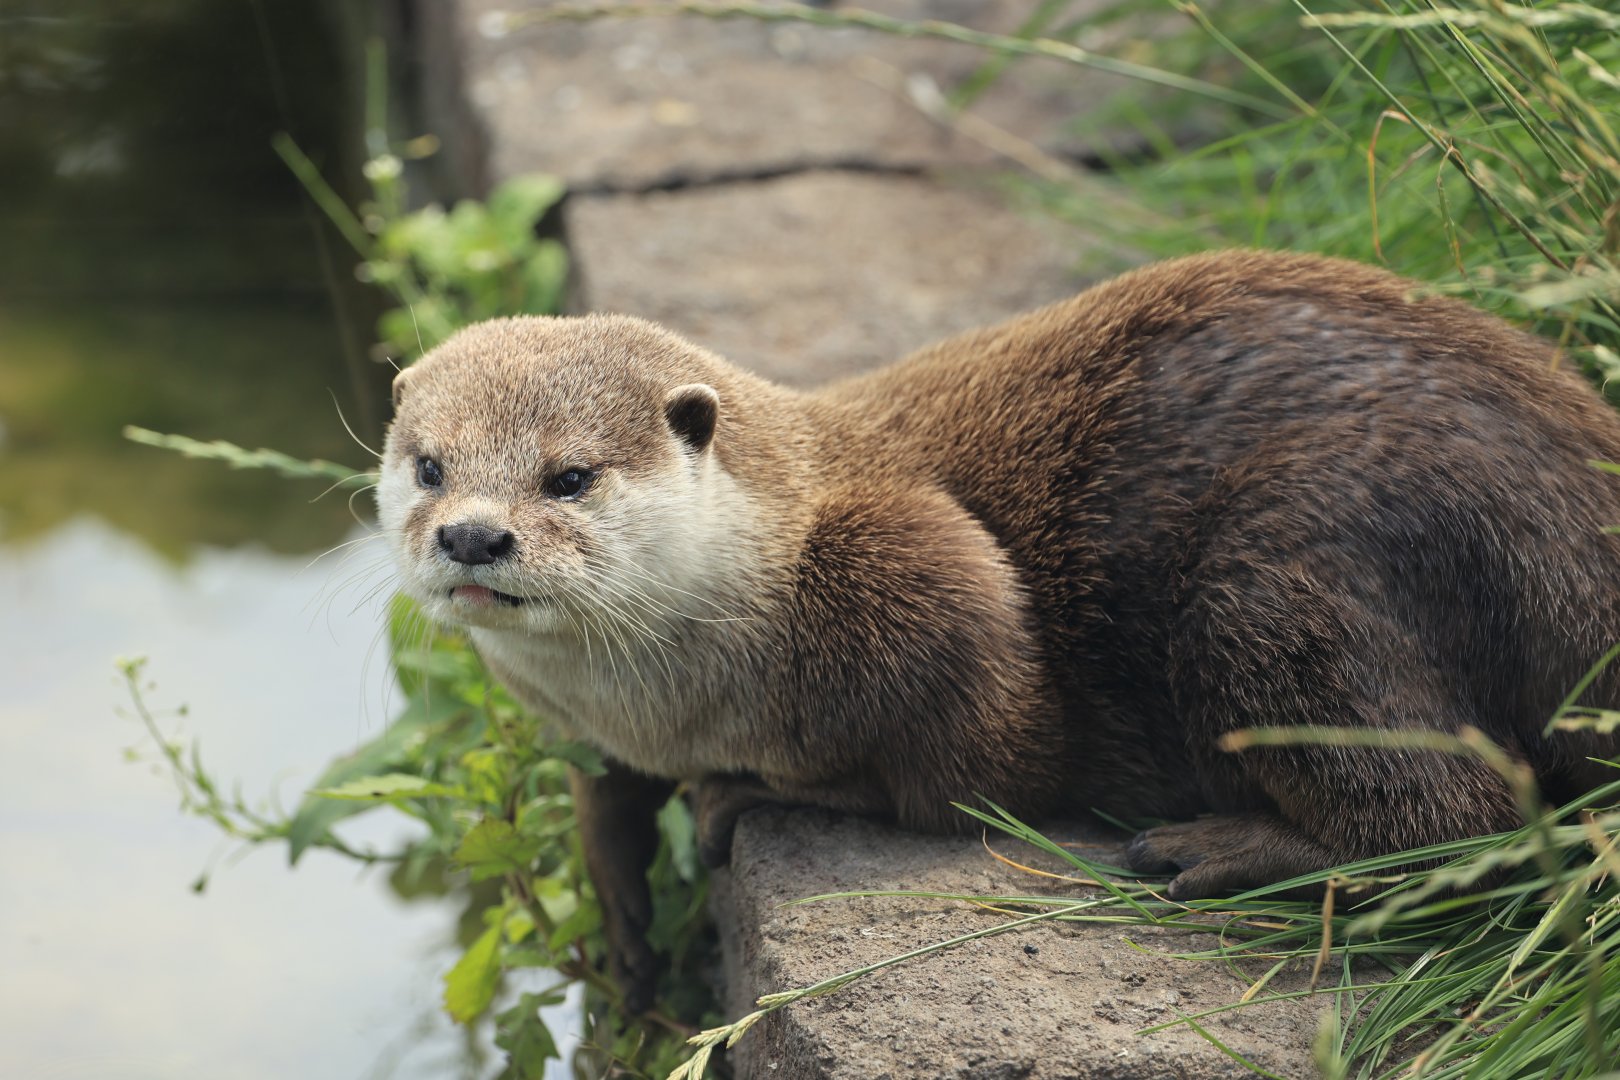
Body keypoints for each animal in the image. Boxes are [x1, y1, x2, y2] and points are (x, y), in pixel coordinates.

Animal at [377, 250, 1620, 1011]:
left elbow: (971, 770)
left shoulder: (930, 580)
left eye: (570, 476)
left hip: (1283, 574)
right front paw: (623, 919)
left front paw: (753, 791)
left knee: (1467, 819)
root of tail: (1576, 490)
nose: (474, 535)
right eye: (431, 465)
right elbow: (601, 793)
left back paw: (1217, 850)